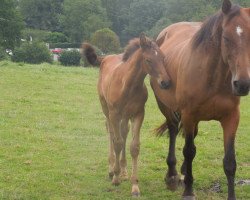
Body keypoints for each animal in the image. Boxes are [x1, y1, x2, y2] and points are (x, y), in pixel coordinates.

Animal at [83, 33, 171, 196]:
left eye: (163, 57)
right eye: (148, 60)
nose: (166, 82)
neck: (128, 85)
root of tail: (105, 58)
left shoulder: (138, 114)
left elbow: (134, 147)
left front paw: (134, 186)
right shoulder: (114, 114)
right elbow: (117, 143)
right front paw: (116, 178)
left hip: (125, 116)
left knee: (124, 132)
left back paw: (124, 171)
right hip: (107, 110)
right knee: (111, 133)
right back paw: (112, 169)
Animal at [150, 0, 250, 199]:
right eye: (226, 38)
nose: (242, 84)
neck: (213, 78)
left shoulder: (231, 118)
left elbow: (230, 162)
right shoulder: (189, 115)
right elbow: (189, 151)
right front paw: (188, 191)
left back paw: (181, 172)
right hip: (166, 107)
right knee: (173, 131)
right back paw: (172, 175)